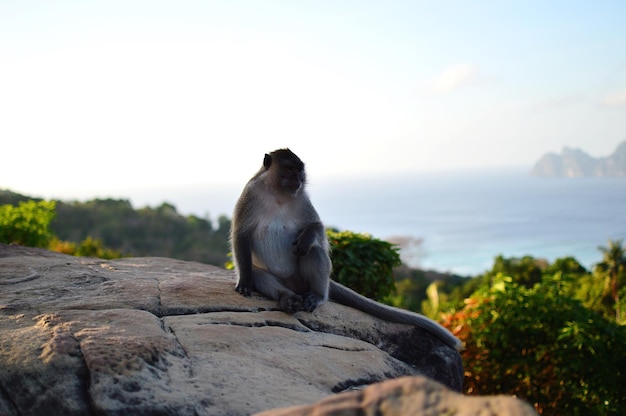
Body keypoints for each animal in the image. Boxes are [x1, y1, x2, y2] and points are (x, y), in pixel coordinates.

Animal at [229, 148, 458, 350]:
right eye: (289, 169)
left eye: (299, 170)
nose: (298, 179)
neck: (278, 193)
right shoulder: (250, 194)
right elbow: (241, 234)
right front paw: (245, 282)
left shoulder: (302, 199)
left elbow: (318, 229)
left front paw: (308, 235)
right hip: (285, 281)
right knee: (259, 273)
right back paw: (286, 298)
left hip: (303, 280)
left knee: (313, 251)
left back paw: (317, 295)